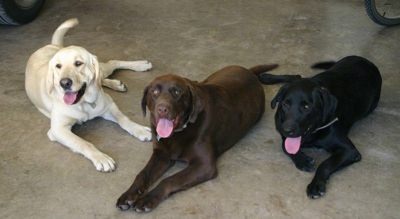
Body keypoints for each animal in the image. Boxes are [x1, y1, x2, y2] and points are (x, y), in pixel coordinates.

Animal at [25, 18, 152, 173]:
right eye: (58, 66)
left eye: (78, 63)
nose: (64, 83)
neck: (83, 103)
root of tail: (52, 45)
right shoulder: (57, 130)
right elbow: (83, 143)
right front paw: (101, 158)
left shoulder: (109, 105)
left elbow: (123, 119)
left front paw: (139, 129)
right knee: (102, 78)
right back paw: (117, 83)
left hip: (102, 69)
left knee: (112, 63)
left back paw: (140, 65)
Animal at [115, 64, 300, 211]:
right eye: (154, 92)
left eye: (177, 92)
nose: (162, 109)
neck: (180, 132)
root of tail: (248, 71)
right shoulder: (161, 155)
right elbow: (142, 174)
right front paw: (128, 195)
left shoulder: (204, 165)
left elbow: (169, 180)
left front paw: (147, 199)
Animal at [268, 56, 382, 198]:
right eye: (285, 104)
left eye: (306, 107)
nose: (287, 130)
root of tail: (365, 60)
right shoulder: (282, 133)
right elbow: (286, 148)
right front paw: (303, 160)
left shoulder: (350, 151)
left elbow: (326, 164)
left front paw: (316, 185)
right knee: (296, 76)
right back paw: (266, 76)